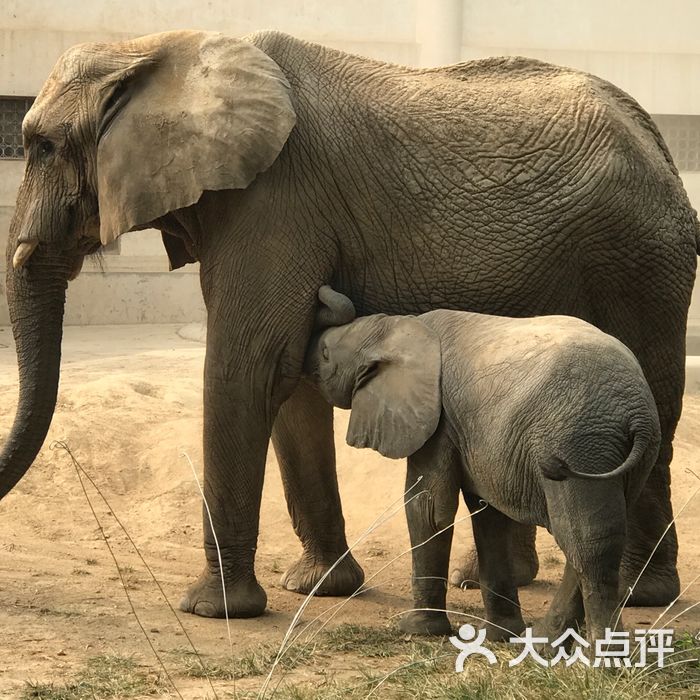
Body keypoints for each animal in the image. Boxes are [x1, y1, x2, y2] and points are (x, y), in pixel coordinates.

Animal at [304, 286, 656, 644]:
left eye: (326, 354)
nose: (324, 290)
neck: (398, 329)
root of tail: (637, 415)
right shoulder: (470, 435)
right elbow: (488, 515)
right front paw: (500, 635)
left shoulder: (440, 421)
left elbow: (429, 509)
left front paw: (418, 630)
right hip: (625, 457)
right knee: (588, 540)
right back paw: (547, 644)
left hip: (578, 442)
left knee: (586, 543)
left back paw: (597, 652)